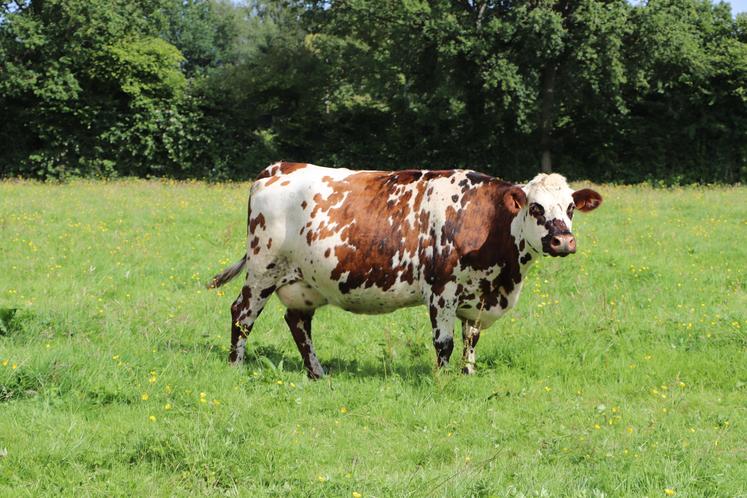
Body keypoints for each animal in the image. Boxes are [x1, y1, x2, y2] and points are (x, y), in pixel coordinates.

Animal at [209, 162, 600, 378]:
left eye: (570, 208)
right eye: (536, 208)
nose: (563, 241)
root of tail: (280, 167)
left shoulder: (478, 296)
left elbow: (471, 338)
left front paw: (468, 373)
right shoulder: (442, 291)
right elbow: (444, 342)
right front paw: (443, 380)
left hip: (305, 282)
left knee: (298, 324)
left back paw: (317, 373)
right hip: (263, 269)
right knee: (241, 315)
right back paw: (235, 367)